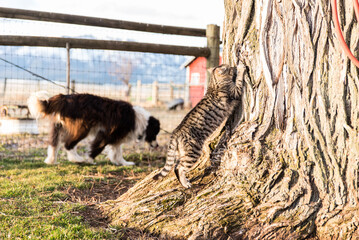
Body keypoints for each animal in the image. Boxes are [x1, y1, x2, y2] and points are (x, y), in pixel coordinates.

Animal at [28, 91, 161, 166]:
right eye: (155, 134)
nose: (157, 145)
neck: (141, 121)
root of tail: (65, 98)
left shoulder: (116, 138)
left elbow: (117, 152)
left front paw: (124, 163)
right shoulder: (105, 134)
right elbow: (98, 148)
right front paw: (90, 160)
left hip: (58, 127)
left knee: (54, 144)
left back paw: (51, 160)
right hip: (82, 128)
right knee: (68, 144)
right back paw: (77, 159)